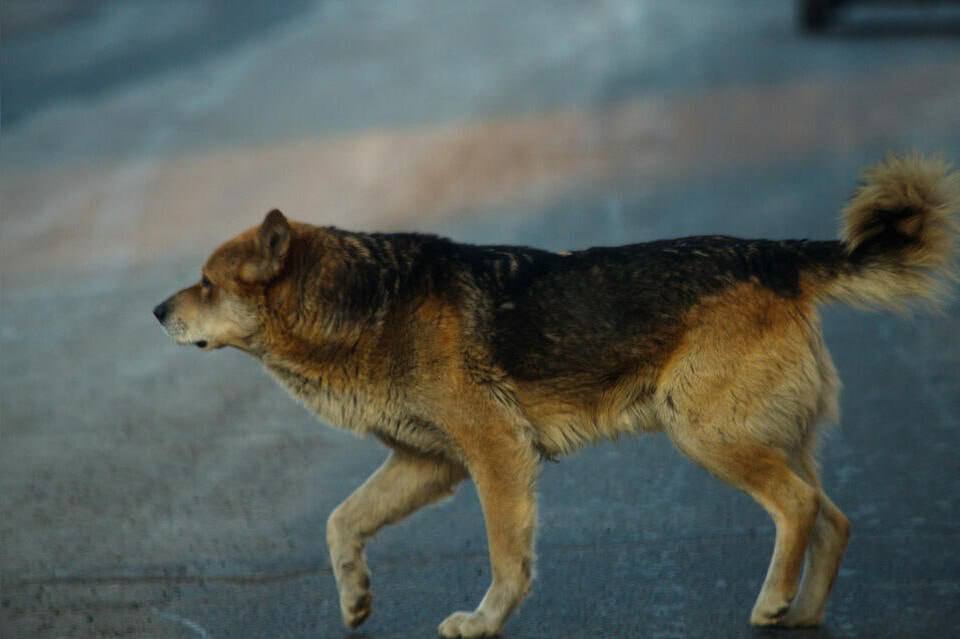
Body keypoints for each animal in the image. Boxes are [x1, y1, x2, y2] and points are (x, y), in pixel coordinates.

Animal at [154, 154, 956, 636]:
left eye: (206, 283)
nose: (157, 312)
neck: (364, 302)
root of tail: (779, 257)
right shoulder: (427, 464)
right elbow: (340, 523)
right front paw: (355, 597)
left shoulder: (495, 454)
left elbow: (506, 555)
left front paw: (483, 622)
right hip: (767, 435)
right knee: (833, 516)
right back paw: (804, 611)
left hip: (707, 434)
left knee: (797, 507)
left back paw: (771, 601)